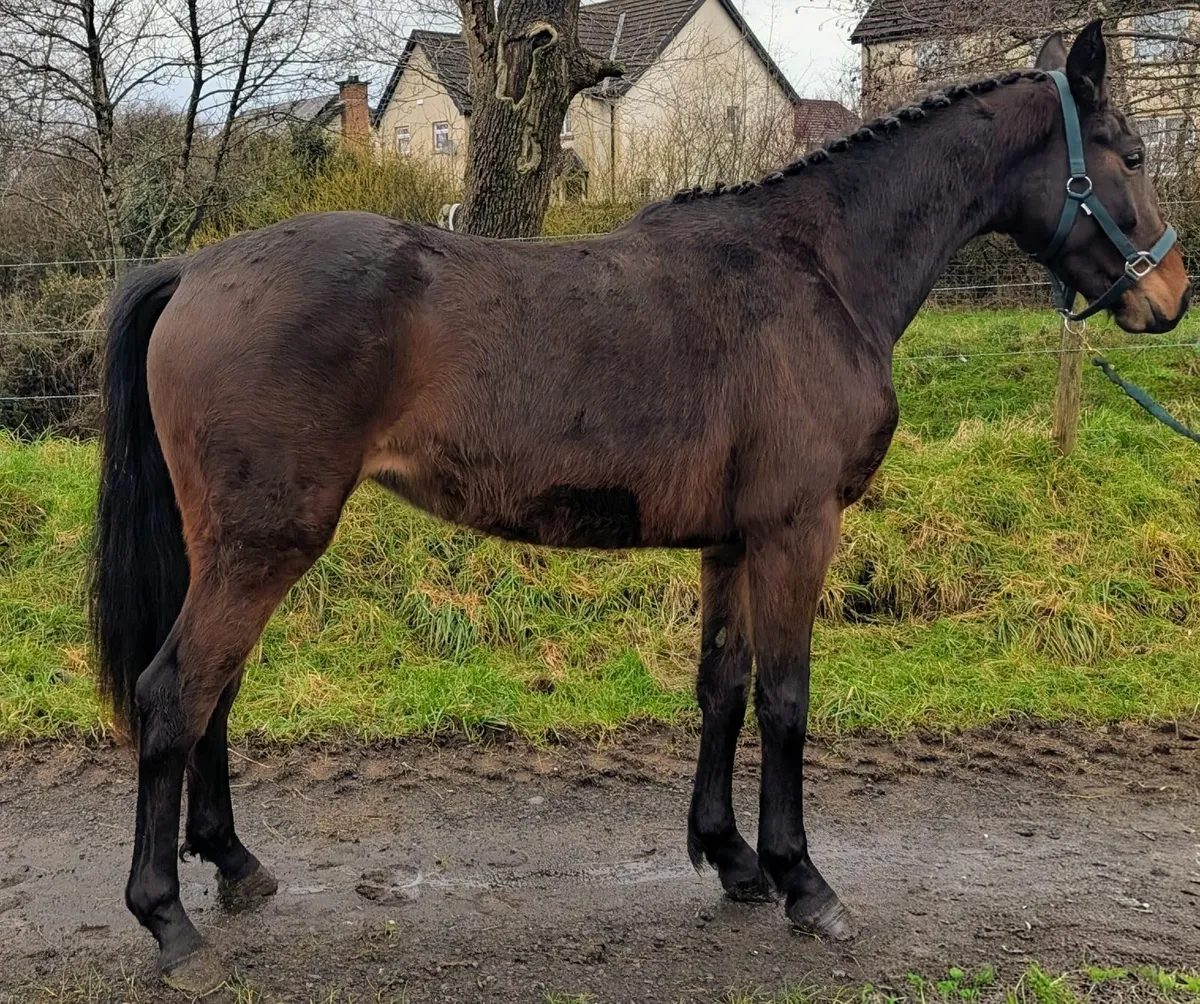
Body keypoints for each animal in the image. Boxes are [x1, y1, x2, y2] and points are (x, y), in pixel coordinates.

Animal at [89, 22, 1189, 992]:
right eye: (1132, 152)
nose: (1172, 293)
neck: (817, 270)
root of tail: (197, 268)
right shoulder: (797, 531)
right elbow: (786, 701)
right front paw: (804, 880)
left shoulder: (731, 543)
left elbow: (723, 688)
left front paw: (732, 858)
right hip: (264, 542)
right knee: (176, 693)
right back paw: (169, 920)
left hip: (233, 546)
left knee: (216, 690)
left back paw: (235, 865)